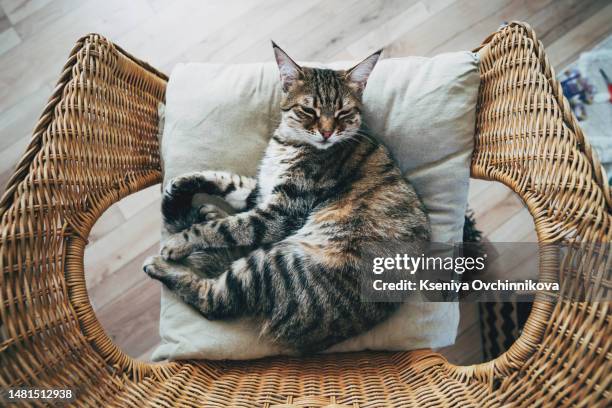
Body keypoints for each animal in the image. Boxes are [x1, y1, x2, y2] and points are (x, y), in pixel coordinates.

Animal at [143, 43, 430, 352]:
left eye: (343, 112)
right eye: (308, 110)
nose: (327, 132)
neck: (289, 143)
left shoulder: (282, 211)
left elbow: (225, 228)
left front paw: (178, 242)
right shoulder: (262, 190)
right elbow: (227, 181)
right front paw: (181, 183)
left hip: (273, 264)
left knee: (214, 298)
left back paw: (162, 265)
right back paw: (206, 212)